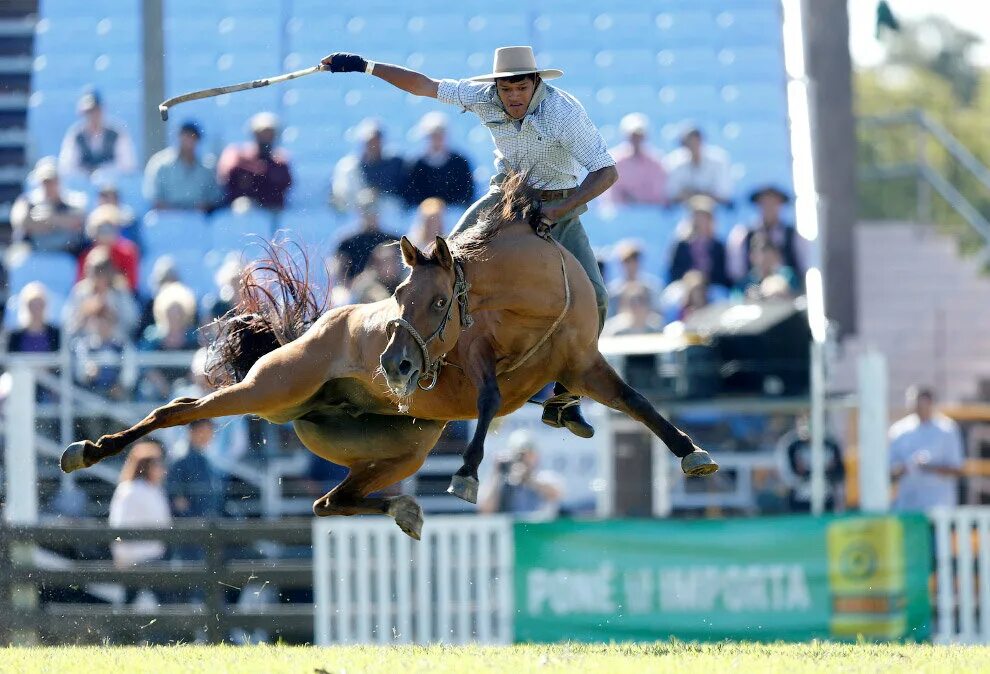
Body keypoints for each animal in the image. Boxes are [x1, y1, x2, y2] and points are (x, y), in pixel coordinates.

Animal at [60, 172, 712, 536]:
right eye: (398, 295)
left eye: (440, 299)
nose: (394, 365)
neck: (536, 304)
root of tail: (308, 333)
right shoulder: (479, 364)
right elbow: (489, 398)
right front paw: (468, 476)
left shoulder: (583, 366)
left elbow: (639, 403)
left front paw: (693, 454)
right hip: (269, 391)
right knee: (179, 408)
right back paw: (88, 450)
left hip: (398, 451)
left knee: (331, 501)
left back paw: (404, 511)